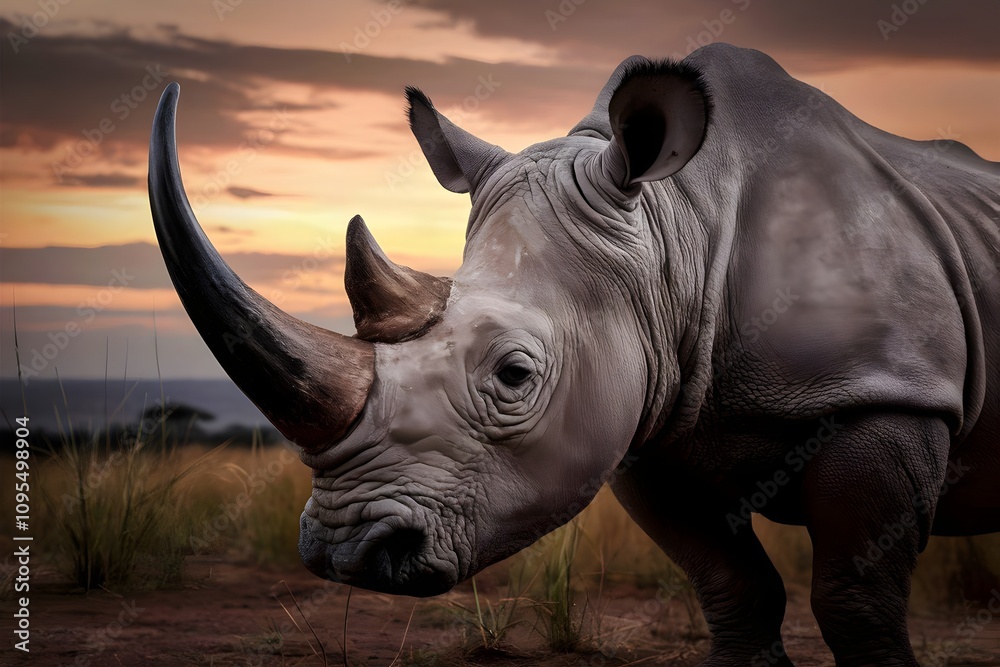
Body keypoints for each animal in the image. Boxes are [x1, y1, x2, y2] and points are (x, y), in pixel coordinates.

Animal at [149, 43, 1000, 666]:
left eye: (514, 374)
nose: (346, 551)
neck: (674, 230)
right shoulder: (655, 423)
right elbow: (733, 589)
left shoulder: (890, 390)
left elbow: (854, 602)